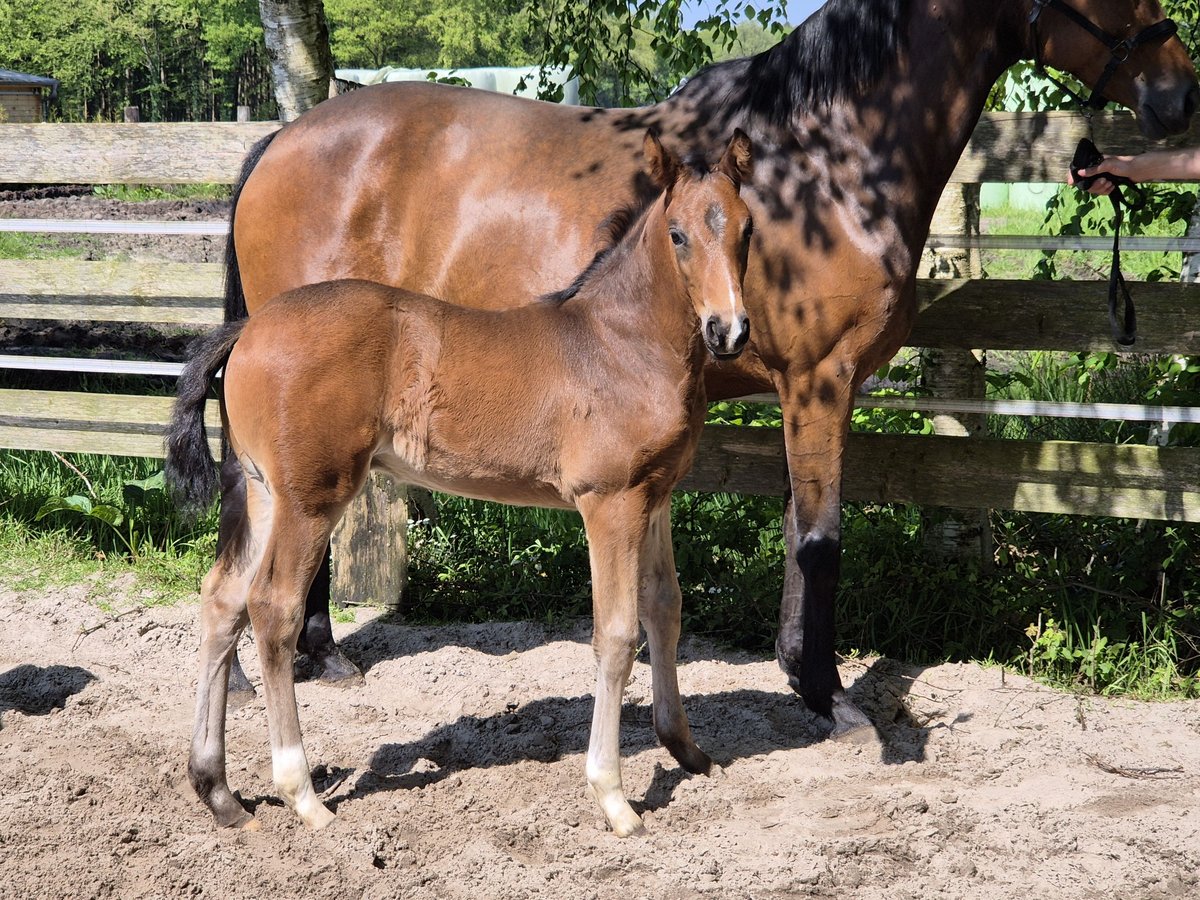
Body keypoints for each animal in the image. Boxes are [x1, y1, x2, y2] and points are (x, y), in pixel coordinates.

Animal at [168, 130, 753, 835]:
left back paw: (218, 790)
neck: (622, 343)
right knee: (272, 607)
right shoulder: (610, 502)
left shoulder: (657, 494)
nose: (729, 330)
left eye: (746, 229)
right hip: (311, 498)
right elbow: (616, 636)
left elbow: (664, 609)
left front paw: (686, 750)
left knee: (222, 601)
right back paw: (302, 794)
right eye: (677, 234)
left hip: (263, 492)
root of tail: (248, 328)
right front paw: (614, 799)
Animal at [223, 1, 1190, 739]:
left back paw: (311, 654)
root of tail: (280, 140)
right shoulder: (819, 381)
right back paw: (299, 654)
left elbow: (799, 530)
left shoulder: (809, 389)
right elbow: (819, 538)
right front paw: (826, 696)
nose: (1178, 91)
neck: (829, 157)